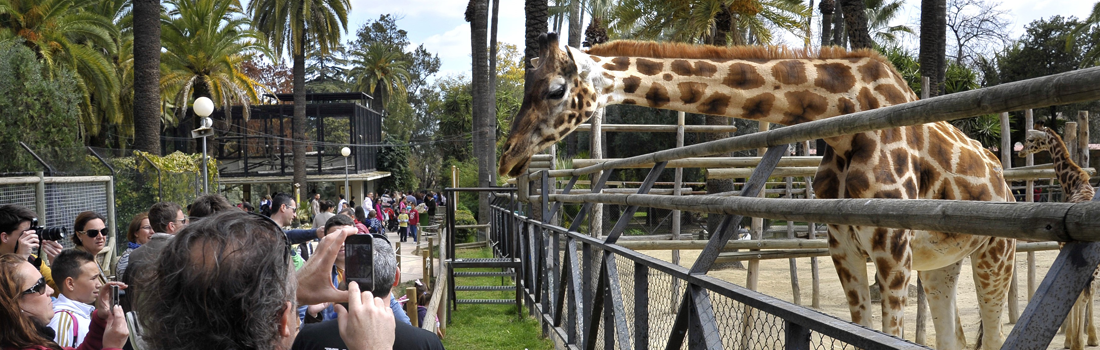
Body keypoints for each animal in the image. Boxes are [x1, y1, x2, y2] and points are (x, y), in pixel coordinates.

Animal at [499, 33, 1012, 350]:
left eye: (555, 89)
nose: (507, 157)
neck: (845, 117)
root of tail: (1003, 178)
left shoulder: (892, 250)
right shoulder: (844, 247)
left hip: (995, 253)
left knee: (992, 332)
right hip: (941, 265)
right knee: (955, 336)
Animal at [1016, 126, 1095, 350]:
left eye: (1030, 139)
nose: (1020, 153)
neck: (1074, 183)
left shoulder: (1063, 247)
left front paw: (1071, 340)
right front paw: (1087, 337)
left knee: (1084, 294)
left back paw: (1078, 341)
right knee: (1091, 292)